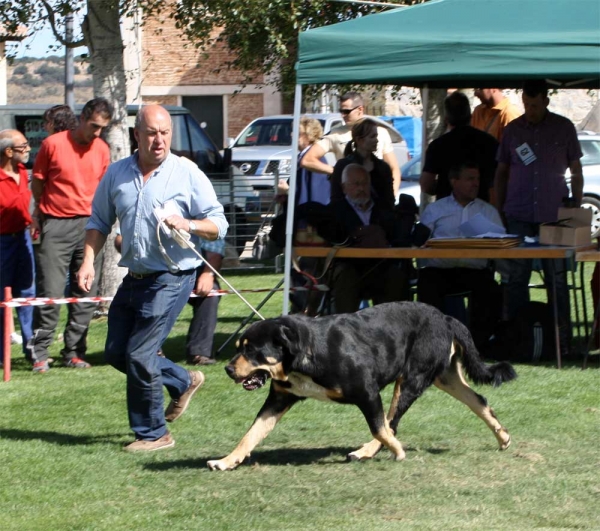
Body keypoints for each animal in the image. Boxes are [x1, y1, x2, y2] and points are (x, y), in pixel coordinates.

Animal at [206, 302, 516, 472]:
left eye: (251, 350)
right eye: (239, 347)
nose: (228, 369)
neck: (306, 352)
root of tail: (446, 317)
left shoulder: (367, 392)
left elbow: (379, 427)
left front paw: (397, 451)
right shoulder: (279, 399)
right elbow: (250, 435)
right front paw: (226, 461)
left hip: (410, 380)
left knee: (391, 422)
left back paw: (367, 451)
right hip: (445, 377)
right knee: (479, 400)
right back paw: (503, 437)